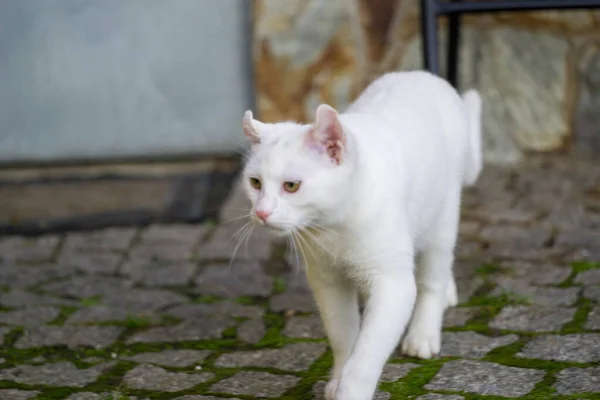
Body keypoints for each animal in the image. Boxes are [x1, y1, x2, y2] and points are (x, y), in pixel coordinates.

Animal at [240, 72, 482, 400]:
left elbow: (367, 353)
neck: (335, 228)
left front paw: (351, 390)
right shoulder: (328, 281)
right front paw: (337, 380)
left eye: (291, 186)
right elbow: (344, 337)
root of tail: (424, 75)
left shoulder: (393, 284)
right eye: (255, 183)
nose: (261, 212)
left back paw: (423, 333)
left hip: (442, 217)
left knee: (433, 276)